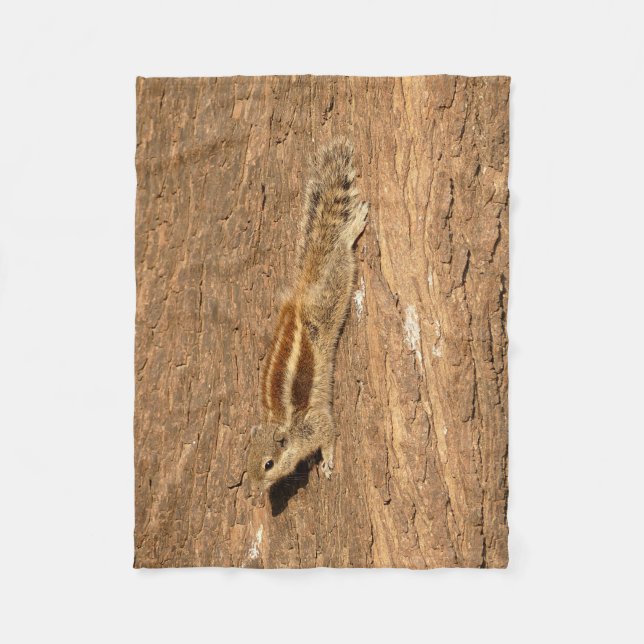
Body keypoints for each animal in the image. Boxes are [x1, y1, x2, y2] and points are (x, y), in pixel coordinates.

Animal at [247, 139, 368, 493]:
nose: (253, 491)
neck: (282, 424)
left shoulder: (315, 424)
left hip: (332, 295)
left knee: (340, 256)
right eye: (246, 463)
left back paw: (351, 230)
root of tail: (301, 294)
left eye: (268, 464)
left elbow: (329, 433)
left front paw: (327, 462)